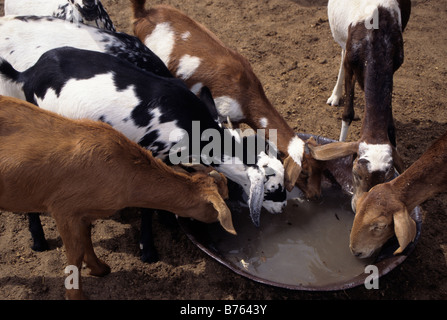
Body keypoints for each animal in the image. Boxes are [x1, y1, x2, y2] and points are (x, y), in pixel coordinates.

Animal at [0, 48, 288, 260]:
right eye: (273, 188)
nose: (283, 206)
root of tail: (28, 73)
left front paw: (169, 220)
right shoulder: (152, 153)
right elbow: (148, 206)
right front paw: (148, 249)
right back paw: (38, 239)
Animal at [0, 95, 236, 300]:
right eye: (223, 200)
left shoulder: (83, 212)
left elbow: (87, 240)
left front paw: (99, 268)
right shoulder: (64, 209)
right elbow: (75, 254)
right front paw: (76, 296)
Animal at [130, 0, 322, 195]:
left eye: (319, 170)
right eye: (304, 172)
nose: (316, 195)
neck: (245, 93)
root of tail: (144, 13)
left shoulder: (234, 118)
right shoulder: (220, 111)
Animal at [310, 0, 412, 212]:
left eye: (386, 179)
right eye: (356, 174)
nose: (360, 206)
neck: (378, 39)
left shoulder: (393, 65)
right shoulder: (351, 61)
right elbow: (348, 114)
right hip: (342, 41)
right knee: (341, 55)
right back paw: (335, 96)